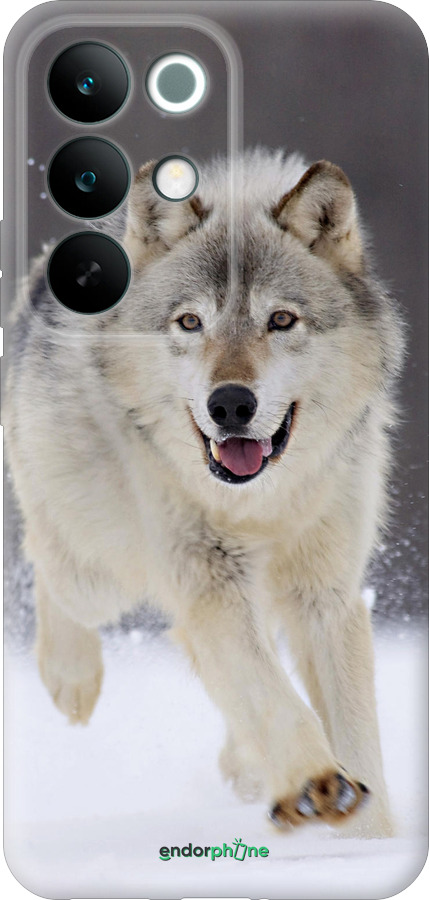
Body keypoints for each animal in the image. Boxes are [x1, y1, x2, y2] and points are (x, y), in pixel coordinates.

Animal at [5, 148, 404, 837]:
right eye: (191, 322)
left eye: (281, 320)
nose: (230, 404)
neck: (260, 504)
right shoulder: (209, 580)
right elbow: (272, 695)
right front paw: (315, 783)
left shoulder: (325, 595)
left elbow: (353, 734)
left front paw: (368, 836)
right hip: (100, 572)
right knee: (49, 565)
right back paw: (71, 680)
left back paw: (245, 766)